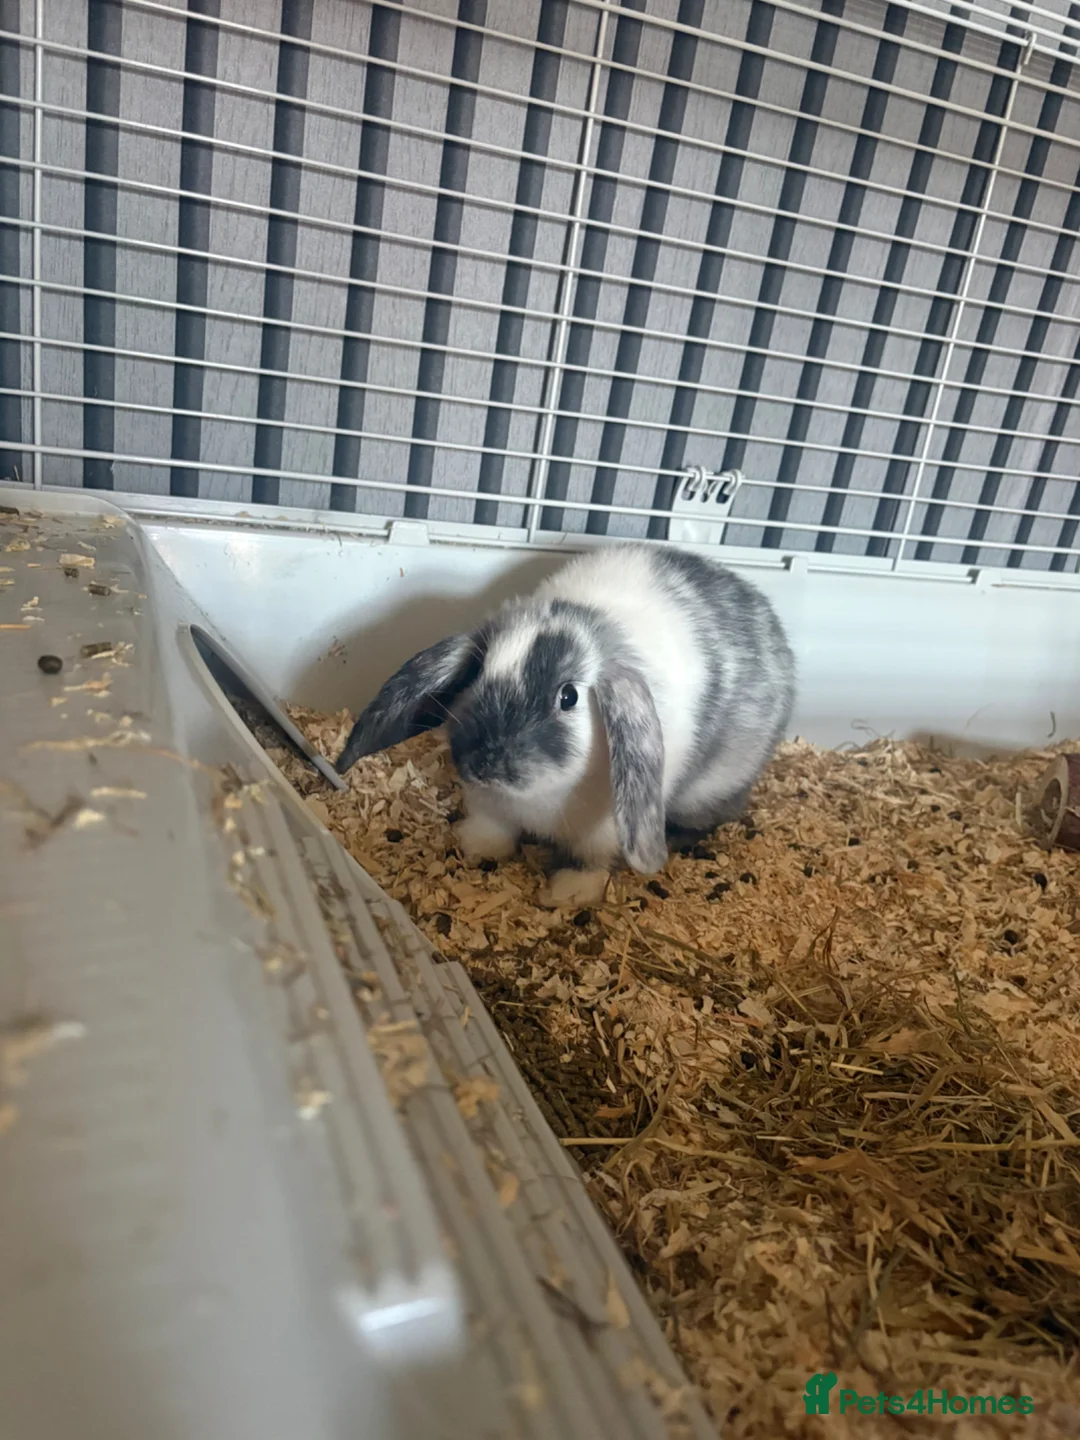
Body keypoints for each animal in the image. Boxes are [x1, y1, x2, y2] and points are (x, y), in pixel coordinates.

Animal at [334, 542, 796, 909]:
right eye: (478, 672)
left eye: (569, 696)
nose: (483, 765)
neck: (538, 795)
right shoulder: (487, 803)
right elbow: (492, 830)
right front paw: (474, 848)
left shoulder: (604, 831)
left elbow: (587, 862)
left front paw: (567, 895)